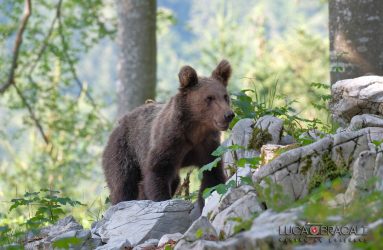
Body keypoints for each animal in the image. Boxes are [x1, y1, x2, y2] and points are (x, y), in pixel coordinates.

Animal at [102, 59, 234, 208]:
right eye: (209, 98)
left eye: (225, 96)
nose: (228, 115)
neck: (195, 129)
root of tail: (118, 124)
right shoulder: (170, 141)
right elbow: (158, 172)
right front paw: (161, 198)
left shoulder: (207, 146)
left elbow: (212, 176)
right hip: (124, 150)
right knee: (123, 183)